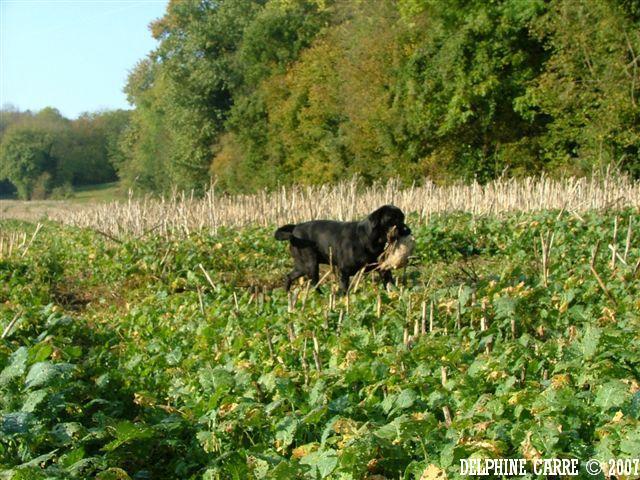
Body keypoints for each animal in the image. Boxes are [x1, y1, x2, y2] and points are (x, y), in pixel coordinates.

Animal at [274, 203, 410, 290]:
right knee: (314, 284)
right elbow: (344, 290)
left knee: (289, 276)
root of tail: (295, 227)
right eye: (391, 219)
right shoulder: (344, 271)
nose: (408, 230)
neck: (368, 239)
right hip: (311, 265)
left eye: (403, 218)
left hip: (302, 266)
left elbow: (390, 283)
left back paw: (286, 292)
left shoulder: (382, 268)